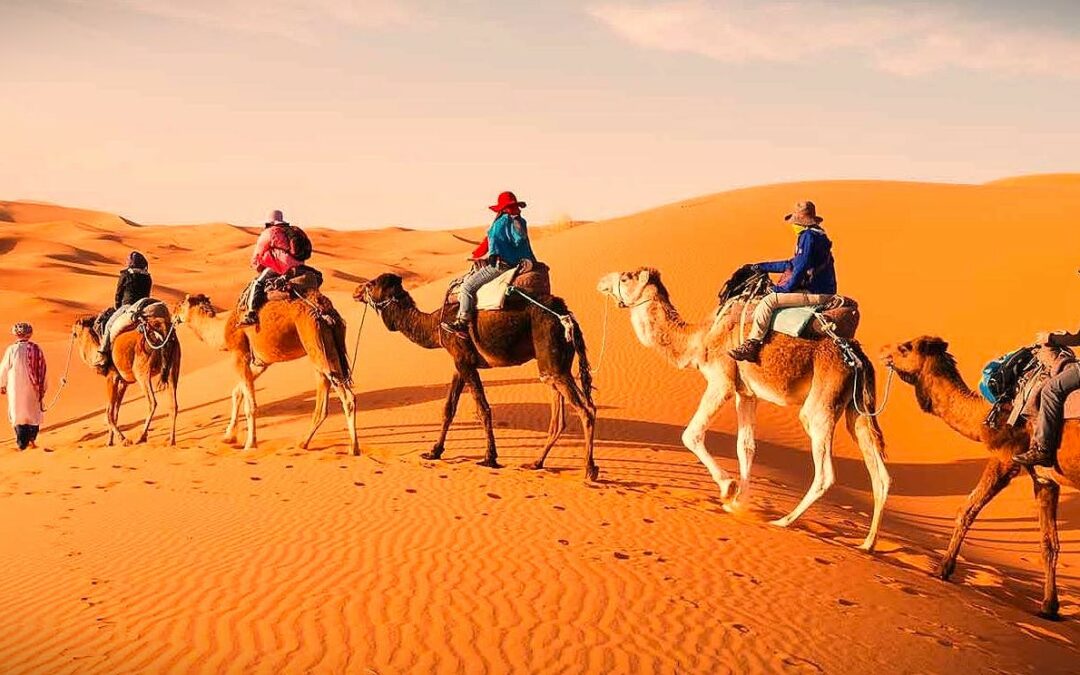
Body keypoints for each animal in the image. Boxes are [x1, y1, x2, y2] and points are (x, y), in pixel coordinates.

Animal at [72, 305, 180, 446]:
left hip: (141, 371)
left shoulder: (111, 377)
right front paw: (110, 441)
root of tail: (163, 330)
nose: (72, 333)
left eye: (75, 331)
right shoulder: (123, 382)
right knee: (173, 404)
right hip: (174, 366)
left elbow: (108, 412)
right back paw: (171, 440)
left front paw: (123, 439)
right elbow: (115, 411)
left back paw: (141, 437)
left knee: (152, 402)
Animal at [173, 292, 357, 454]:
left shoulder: (239, 354)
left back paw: (353, 448)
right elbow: (237, 392)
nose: (174, 313)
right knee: (324, 397)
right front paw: (229, 436)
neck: (223, 328)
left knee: (346, 397)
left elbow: (250, 405)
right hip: (328, 350)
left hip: (315, 342)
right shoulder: (261, 362)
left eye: (181, 303)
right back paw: (303, 443)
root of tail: (327, 312)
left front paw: (250, 444)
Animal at [353, 273, 598, 479]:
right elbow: (448, 409)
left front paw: (490, 458)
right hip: (556, 366)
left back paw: (589, 470)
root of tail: (567, 316)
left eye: (371, 284)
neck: (435, 324)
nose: (356, 291)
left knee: (586, 409)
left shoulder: (465, 361)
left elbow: (483, 409)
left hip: (551, 357)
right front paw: (434, 452)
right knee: (561, 416)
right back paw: (536, 463)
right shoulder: (459, 363)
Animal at [597, 267, 890, 550]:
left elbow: (691, 435)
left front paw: (728, 489)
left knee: (825, 472)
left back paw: (783, 521)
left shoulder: (722, 382)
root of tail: (858, 358)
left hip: (821, 404)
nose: (602, 281)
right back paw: (868, 543)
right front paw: (739, 503)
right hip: (857, 409)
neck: (701, 338)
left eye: (627, 277)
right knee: (880, 475)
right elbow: (745, 447)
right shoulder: (747, 393)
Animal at [882, 336, 1078, 618]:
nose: (883, 351)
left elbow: (966, 510)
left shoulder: (1005, 458)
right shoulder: (1044, 477)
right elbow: (1049, 542)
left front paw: (943, 569)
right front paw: (1049, 607)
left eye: (905, 348)